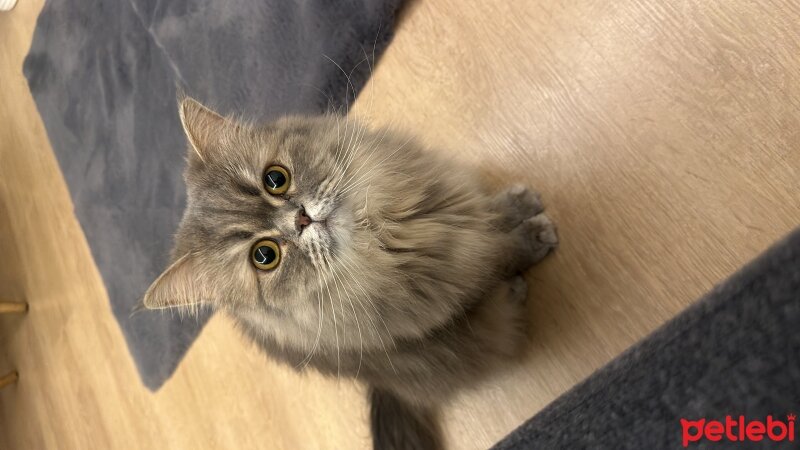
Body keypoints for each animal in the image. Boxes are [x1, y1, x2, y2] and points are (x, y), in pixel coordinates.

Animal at [142, 96, 556, 448]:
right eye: (264, 255)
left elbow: (489, 217)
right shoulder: (459, 283)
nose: (301, 218)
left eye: (275, 179)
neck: (382, 232)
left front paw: (516, 207)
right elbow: (502, 252)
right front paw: (534, 237)